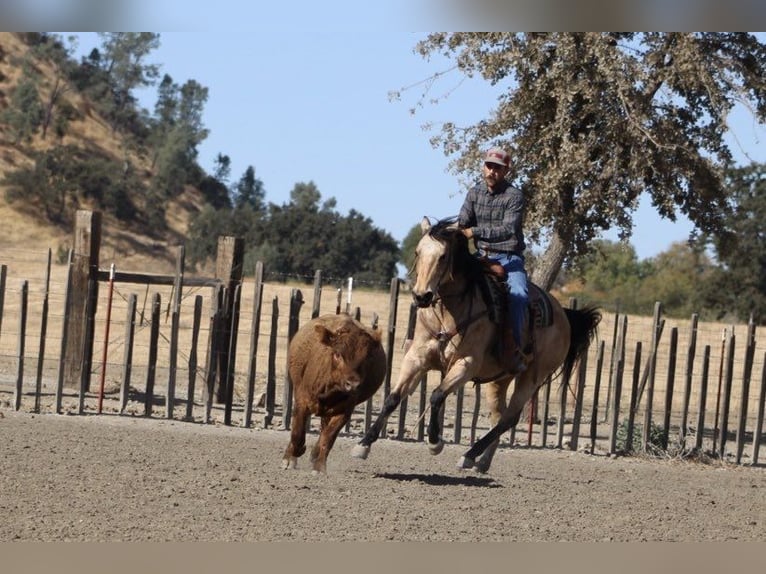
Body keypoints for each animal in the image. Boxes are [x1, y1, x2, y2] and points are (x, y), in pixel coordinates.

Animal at [351, 216, 601, 473]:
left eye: (443, 256)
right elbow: (393, 397)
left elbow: (437, 396)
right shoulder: (416, 357)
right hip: (500, 379)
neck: (448, 311)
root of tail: (564, 314)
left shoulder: (466, 364)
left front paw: (435, 443)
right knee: (499, 417)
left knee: (509, 418)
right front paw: (364, 444)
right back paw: (481, 461)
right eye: (418, 252)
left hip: (533, 376)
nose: (422, 296)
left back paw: (469, 454)